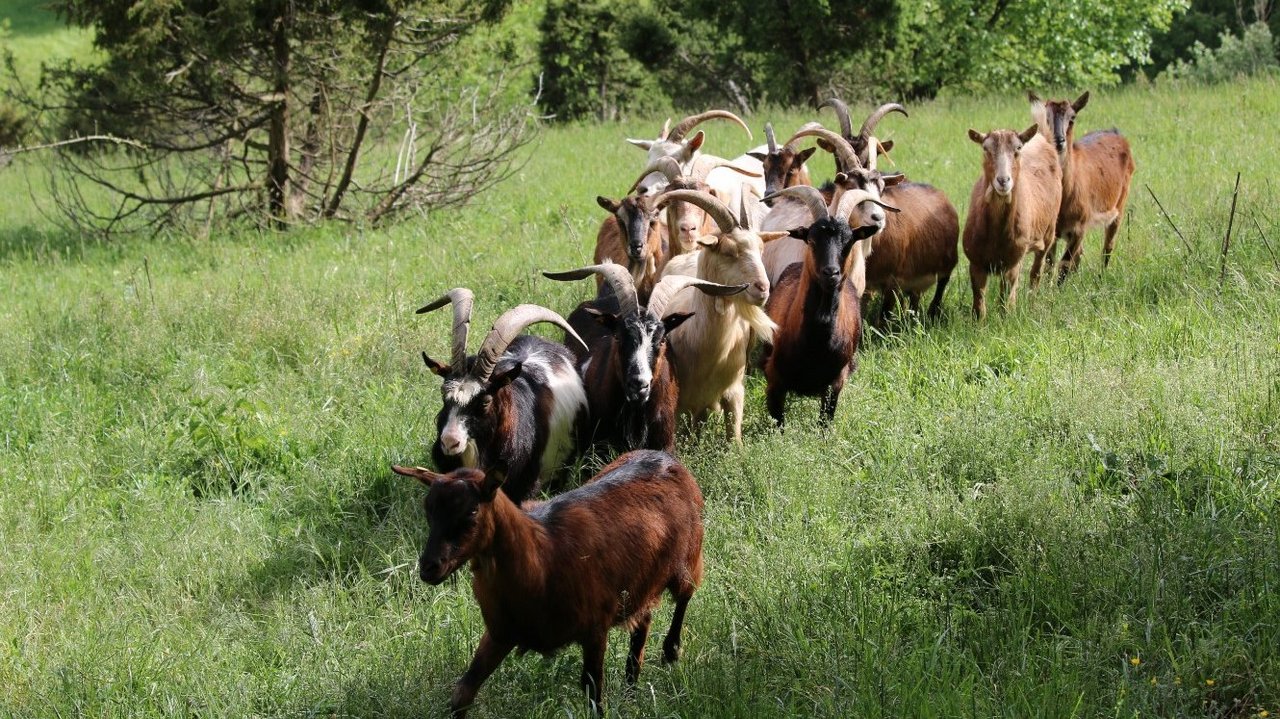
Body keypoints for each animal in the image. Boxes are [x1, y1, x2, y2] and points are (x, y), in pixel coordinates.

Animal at [392, 449, 704, 717]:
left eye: (471, 511)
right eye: (428, 510)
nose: (429, 568)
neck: (540, 558)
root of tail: (662, 455)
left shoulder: (595, 628)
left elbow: (593, 693)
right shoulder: (501, 633)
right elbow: (462, 692)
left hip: (689, 556)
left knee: (686, 595)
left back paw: (671, 651)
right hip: (641, 584)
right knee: (643, 623)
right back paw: (631, 686)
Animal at [654, 190, 787, 443]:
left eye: (761, 250)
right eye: (728, 252)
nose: (763, 288)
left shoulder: (734, 392)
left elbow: (734, 440)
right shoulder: (678, 399)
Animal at [761, 185, 894, 425]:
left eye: (849, 242)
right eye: (812, 240)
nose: (831, 272)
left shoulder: (835, 384)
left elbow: (825, 422)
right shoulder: (774, 380)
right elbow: (778, 424)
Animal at [961, 126, 1063, 319]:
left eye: (1018, 148)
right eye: (985, 149)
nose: (1003, 180)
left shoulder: (1012, 262)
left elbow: (1004, 300)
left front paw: (1004, 321)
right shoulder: (976, 261)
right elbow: (979, 302)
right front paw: (979, 324)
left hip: (1048, 232)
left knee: (1036, 272)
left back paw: (1031, 302)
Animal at [1029, 91, 1137, 282]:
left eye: (1072, 117)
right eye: (1045, 117)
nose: (1059, 140)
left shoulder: (1080, 226)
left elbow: (1064, 266)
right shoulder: (1053, 232)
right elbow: (1050, 266)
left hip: (1120, 205)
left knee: (1108, 246)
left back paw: (1101, 277)